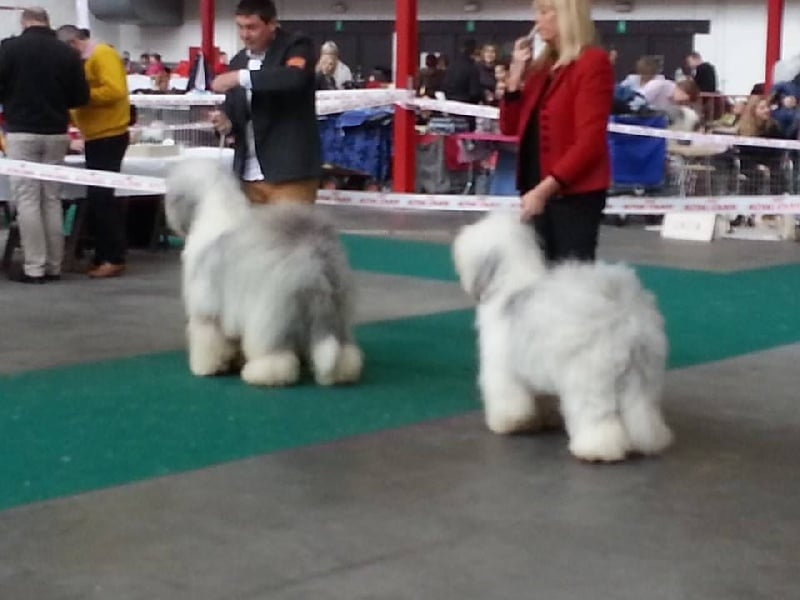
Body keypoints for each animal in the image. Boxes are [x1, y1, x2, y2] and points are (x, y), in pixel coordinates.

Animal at [165, 158, 362, 387]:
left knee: (277, 359)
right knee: (344, 351)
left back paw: (259, 376)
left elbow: (208, 341)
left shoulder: (207, 312)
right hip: (336, 310)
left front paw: (206, 367)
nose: (173, 225)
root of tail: (315, 260)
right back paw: (340, 375)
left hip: (268, 317)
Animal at [452, 212, 673, 462]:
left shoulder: (501, 367)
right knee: (643, 414)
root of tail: (624, 317)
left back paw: (596, 450)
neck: (508, 284)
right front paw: (543, 419)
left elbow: (507, 398)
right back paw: (647, 442)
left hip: (590, 380)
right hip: (642, 377)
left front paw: (509, 422)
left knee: (597, 418)